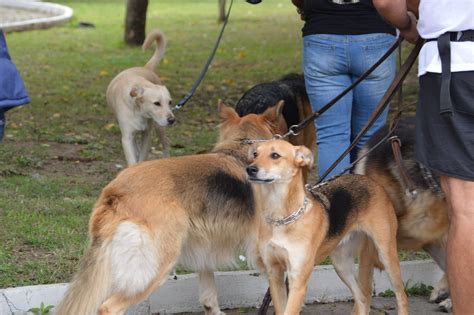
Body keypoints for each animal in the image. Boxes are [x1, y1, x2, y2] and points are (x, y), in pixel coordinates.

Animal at [106, 29, 175, 167]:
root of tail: (145, 67)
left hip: (159, 127)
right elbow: (133, 160)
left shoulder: (147, 135)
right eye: (156, 103)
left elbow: (142, 157)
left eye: (170, 102)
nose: (172, 120)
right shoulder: (127, 138)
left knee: (166, 144)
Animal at [248, 140, 408, 315]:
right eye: (255, 154)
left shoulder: (297, 281)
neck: (282, 218)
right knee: (363, 298)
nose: (250, 169)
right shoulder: (274, 275)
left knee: (401, 296)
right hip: (341, 264)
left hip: (387, 255)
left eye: (275, 155)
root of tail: (371, 181)